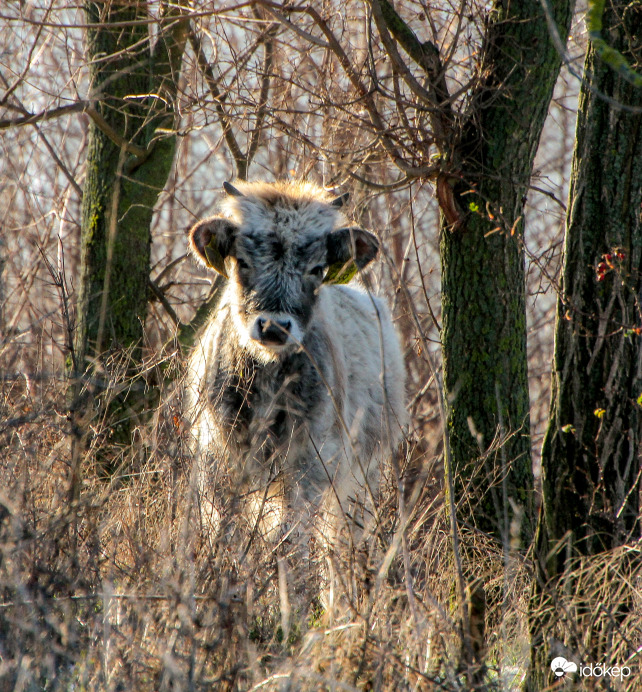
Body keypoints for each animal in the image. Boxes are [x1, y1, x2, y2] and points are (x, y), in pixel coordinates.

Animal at [182, 178, 402, 600]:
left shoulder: (310, 465)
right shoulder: (216, 460)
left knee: (340, 548)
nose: (274, 326)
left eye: (317, 269)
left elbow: (290, 544)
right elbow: (225, 534)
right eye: (243, 262)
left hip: (359, 480)